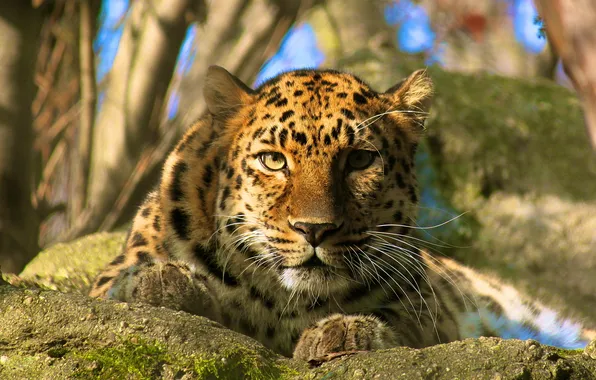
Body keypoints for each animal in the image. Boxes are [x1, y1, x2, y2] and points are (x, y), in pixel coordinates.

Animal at [89, 64, 596, 360]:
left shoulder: (431, 307)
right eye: (273, 160)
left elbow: (401, 319)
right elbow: (126, 282)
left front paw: (344, 331)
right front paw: (162, 281)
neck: (282, 304)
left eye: (359, 160)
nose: (314, 230)